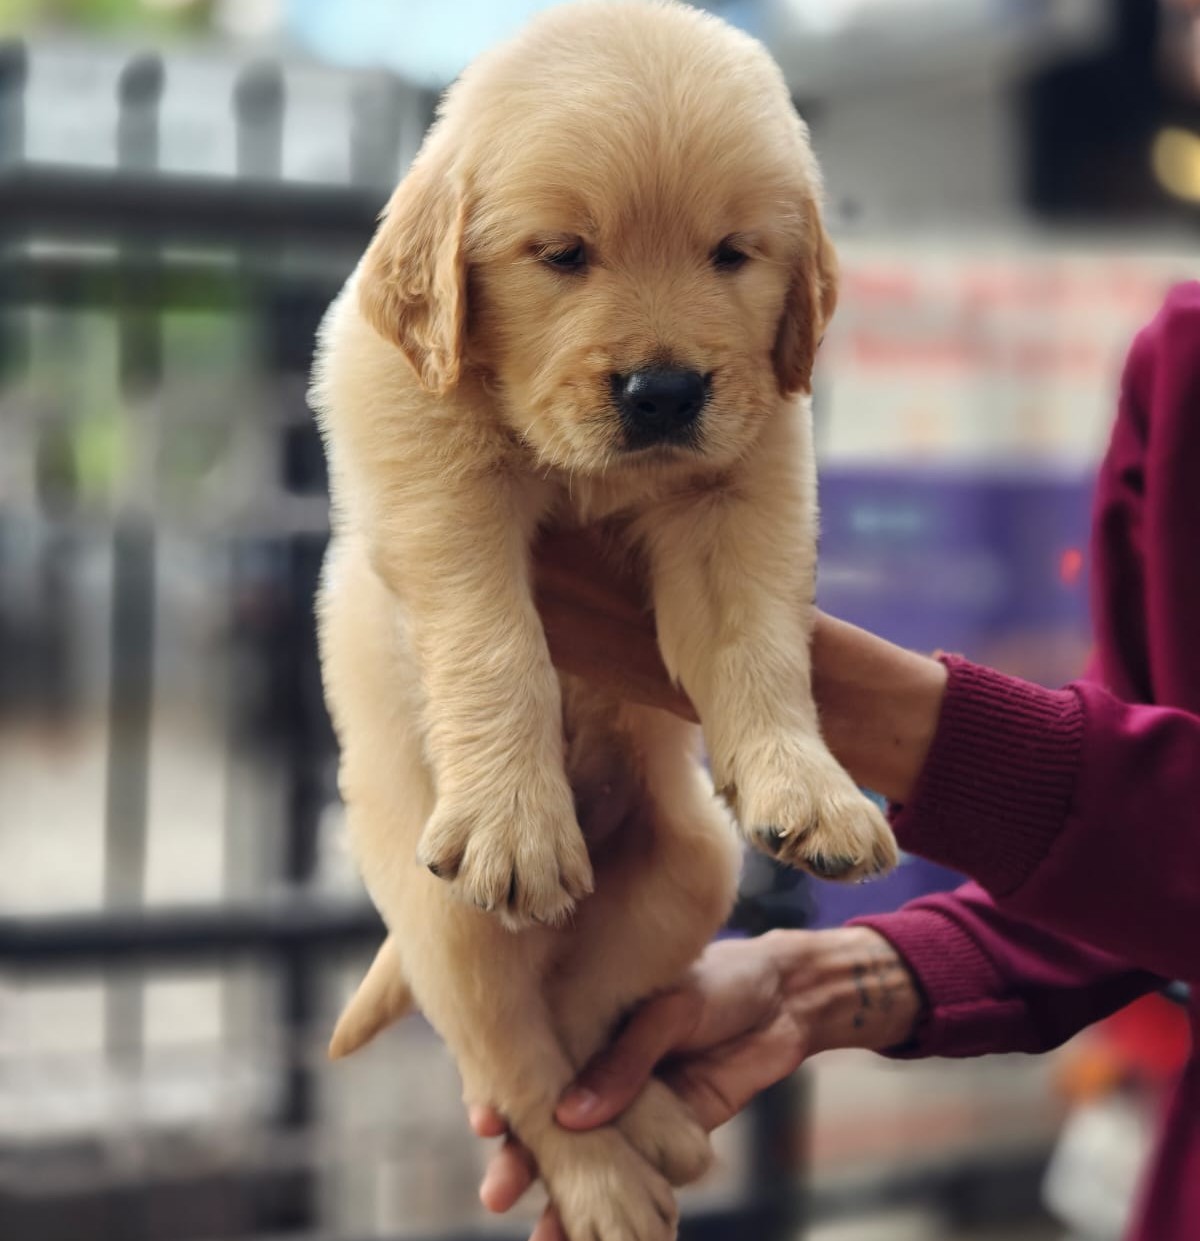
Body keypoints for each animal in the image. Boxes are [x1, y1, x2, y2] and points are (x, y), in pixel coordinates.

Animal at [313, 4, 898, 1236]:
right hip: (445, 915)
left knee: (581, 1027)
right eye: (564, 254)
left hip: (690, 867)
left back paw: (650, 1121)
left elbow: (758, 641)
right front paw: (514, 818)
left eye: (731, 253)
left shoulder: (748, 478)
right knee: (515, 1062)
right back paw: (603, 1175)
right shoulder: (427, 462)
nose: (665, 393)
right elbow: (493, 635)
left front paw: (810, 785)